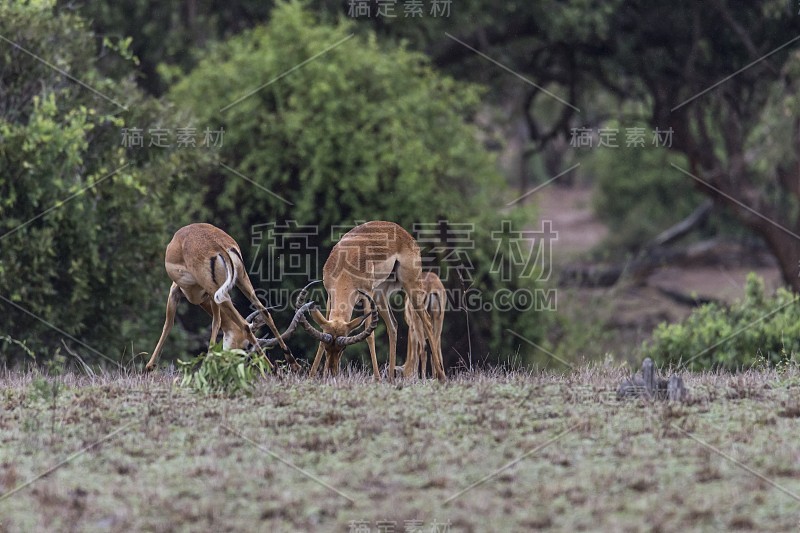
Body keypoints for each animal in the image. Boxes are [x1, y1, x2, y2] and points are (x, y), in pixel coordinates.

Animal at [145, 222, 304, 372]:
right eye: (247, 346)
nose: (234, 361)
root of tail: (219, 246)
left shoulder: (176, 292)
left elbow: (168, 324)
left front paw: (149, 366)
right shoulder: (210, 297)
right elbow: (217, 322)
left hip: (218, 291)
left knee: (244, 325)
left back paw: (272, 368)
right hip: (240, 280)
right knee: (265, 312)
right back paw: (293, 364)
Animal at [296, 221, 446, 382]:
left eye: (343, 348)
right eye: (327, 346)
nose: (331, 372)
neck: (344, 264)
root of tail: (404, 233)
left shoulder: (366, 294)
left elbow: (370, 335)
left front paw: (377, 379)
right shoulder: (330, 294)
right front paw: (312, 376)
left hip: (410, 287)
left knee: (428, 323)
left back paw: (441, 376)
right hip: (380, 295)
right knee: (393, 325)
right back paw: (391, 379)